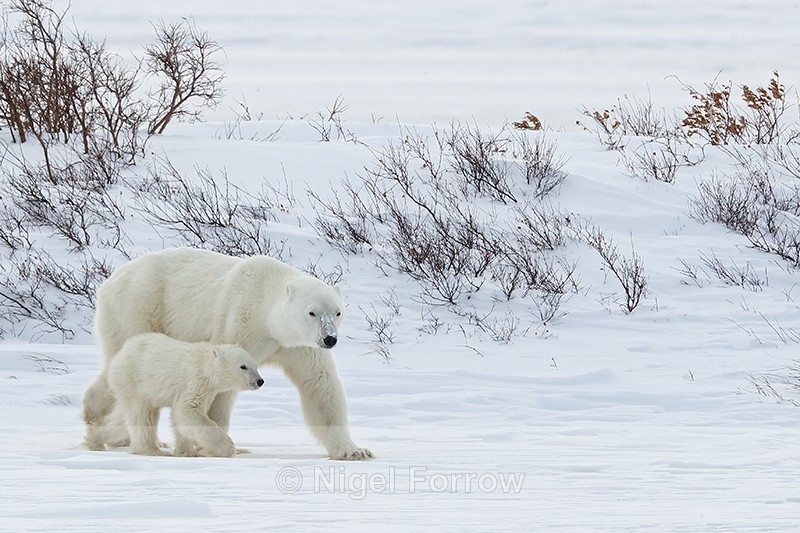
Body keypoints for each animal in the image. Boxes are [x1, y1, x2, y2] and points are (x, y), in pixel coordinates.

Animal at [98, 333, 264, 457]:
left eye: (255, 365)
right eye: (243, 366)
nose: (260, 381)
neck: (205, 365)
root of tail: (121, 353)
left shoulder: (209, 390)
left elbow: (183, 419)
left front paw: (187, 452)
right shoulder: (194, 380)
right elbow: (188, 411)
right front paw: (227, 446)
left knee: (123, 417)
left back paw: (97, 437)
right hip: (135, 381)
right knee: (142, 416)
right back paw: (153, 450)